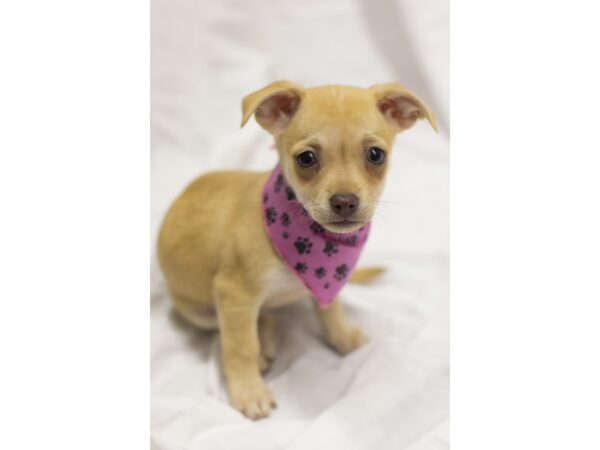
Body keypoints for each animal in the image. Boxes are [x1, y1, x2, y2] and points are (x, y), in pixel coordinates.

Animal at [157, 80, 434, 418]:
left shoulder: (328, 283)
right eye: (306, 158)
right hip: (198, 311)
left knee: (268, 317)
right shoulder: (234, 295)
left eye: (375, 155)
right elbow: (240, 347)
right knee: (246, 326)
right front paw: (248, 391)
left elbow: (330, 310)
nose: (345, 201)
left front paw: (342, 336)